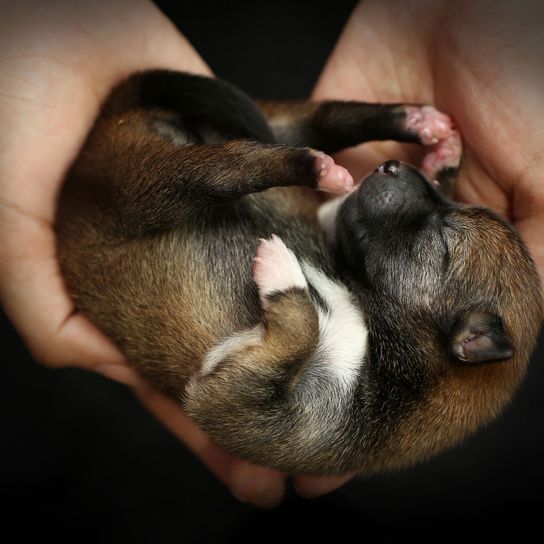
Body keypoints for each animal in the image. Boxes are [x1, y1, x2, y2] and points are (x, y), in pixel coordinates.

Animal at [56, 70, 544, 474]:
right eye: (451, 205)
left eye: (443, 238)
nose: (392, 166)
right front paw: (440, 163)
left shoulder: (239, 409)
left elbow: (303, 324)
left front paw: (283, 273)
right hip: (225, 145)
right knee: (310, 124)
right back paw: (412, 121)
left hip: (147, 189)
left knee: (226, 168)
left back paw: (317, 167)